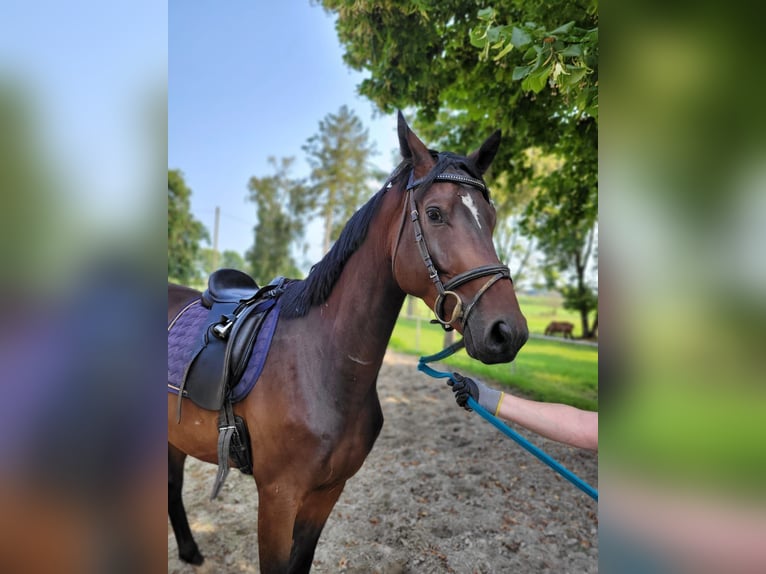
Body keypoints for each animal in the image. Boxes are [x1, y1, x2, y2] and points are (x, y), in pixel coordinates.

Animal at [167, 110, 528, 572]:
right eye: (434, 213)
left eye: (491, 216)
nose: (507, 331)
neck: (322, 365)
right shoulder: (278, 498)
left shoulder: (326, 494)